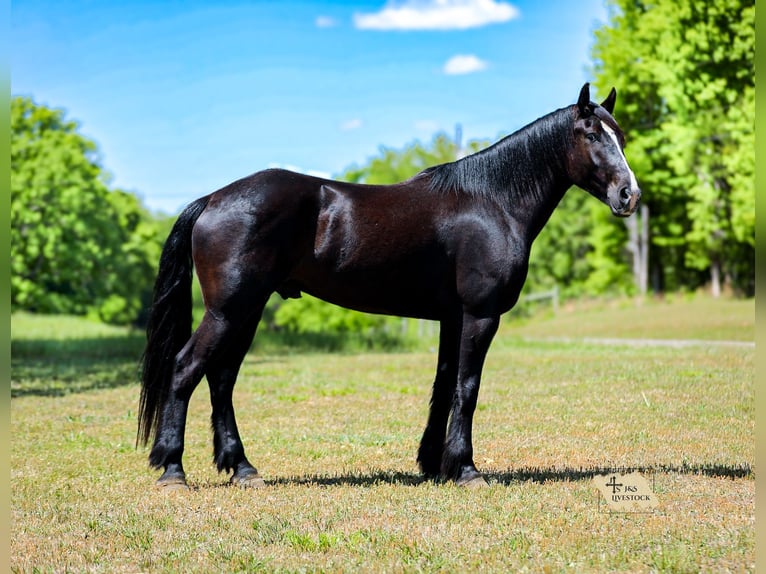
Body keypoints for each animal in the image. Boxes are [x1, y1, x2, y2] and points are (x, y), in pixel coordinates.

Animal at [137, 83, 641, 489]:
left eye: (620, 135)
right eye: (591, 135)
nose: (629, 195)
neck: (492, 201)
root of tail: (213, 199)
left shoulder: (451, 318)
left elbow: (444, 386)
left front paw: (435, 465)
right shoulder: (479, 315)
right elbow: (467, 387)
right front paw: (467, 470)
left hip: (249, 309)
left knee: (221, 379)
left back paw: (242, 469)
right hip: (228, 310)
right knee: (186, 369)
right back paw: (173, 471)